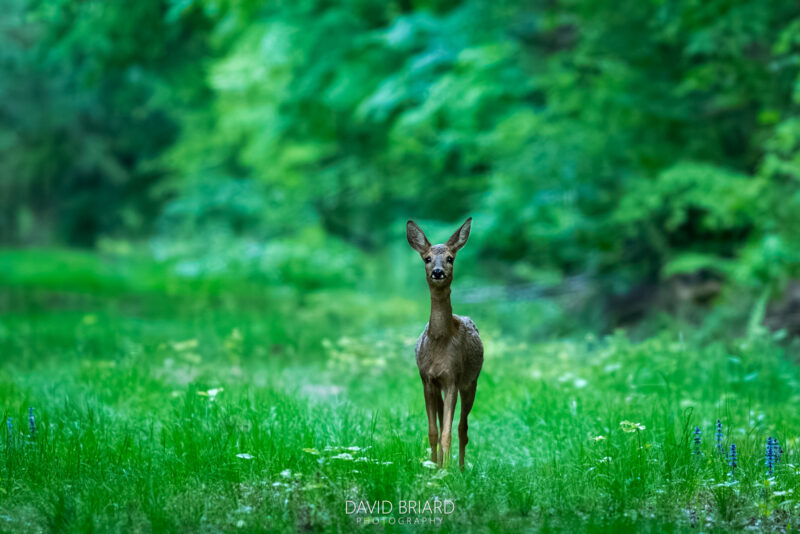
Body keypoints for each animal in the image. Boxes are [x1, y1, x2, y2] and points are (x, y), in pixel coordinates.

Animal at [406, 218, 482, 468]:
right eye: (427, 258)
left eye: (450, 258)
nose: (438, 272)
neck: (439, 340)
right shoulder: (427, 380)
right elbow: (433, 431)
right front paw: (433, 468)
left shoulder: (452, 378)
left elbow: (448, 431)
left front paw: (446, 471)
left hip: (471, 382)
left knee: (462, 428)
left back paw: (460, 468)